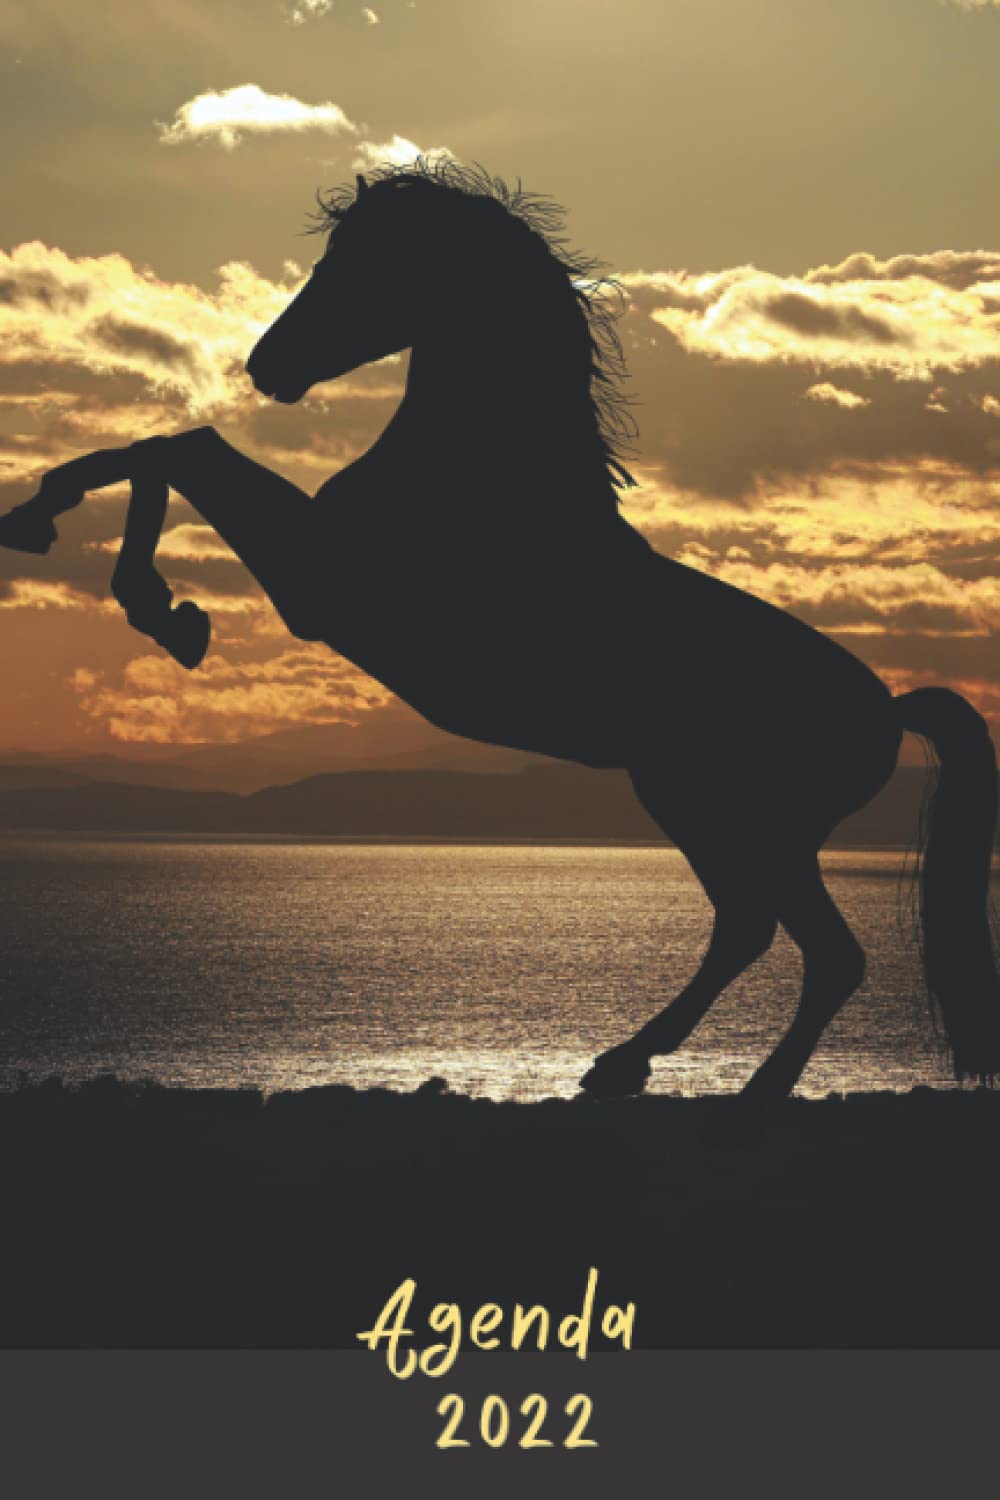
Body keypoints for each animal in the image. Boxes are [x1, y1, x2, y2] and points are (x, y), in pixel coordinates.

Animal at [1, 159, 997, 1129]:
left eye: (361, 264)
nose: (265, 365)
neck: (483, 475)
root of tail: (887, 709)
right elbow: (163, 447)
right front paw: (51, 526)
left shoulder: (320, 585)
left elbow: (181, 449)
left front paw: (155, 603)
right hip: (709, 812)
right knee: (752, 931)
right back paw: (627, 1067)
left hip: (737, 817)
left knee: (818, 950)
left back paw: (733, 1087)